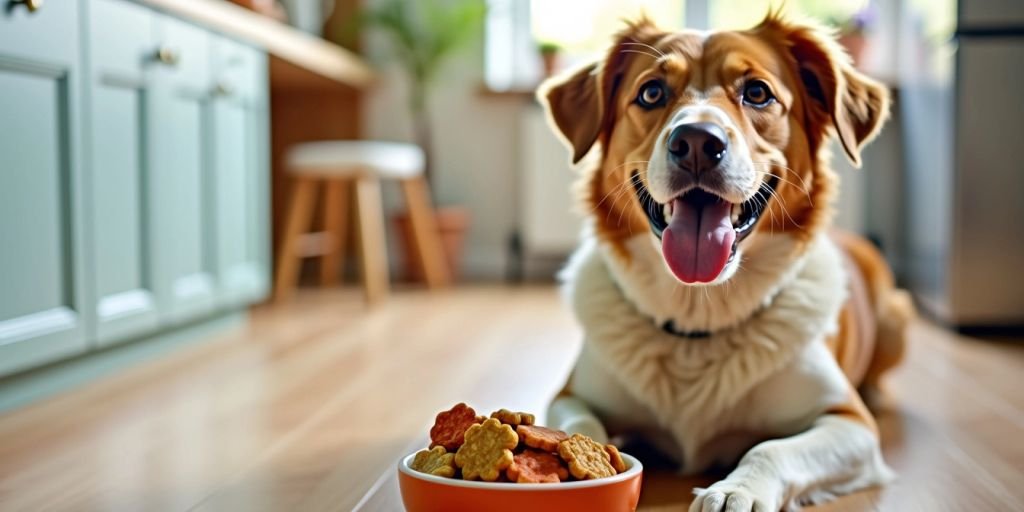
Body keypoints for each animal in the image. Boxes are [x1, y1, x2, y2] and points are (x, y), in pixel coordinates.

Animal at [540, 12, 917, 512]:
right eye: (652, 92)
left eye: (757, 92)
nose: (697, 142)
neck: (698, 319)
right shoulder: (570, 395)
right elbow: (579, 428)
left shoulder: (849, 421)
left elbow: (770, 448)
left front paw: (737, 490)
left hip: (895, 320)